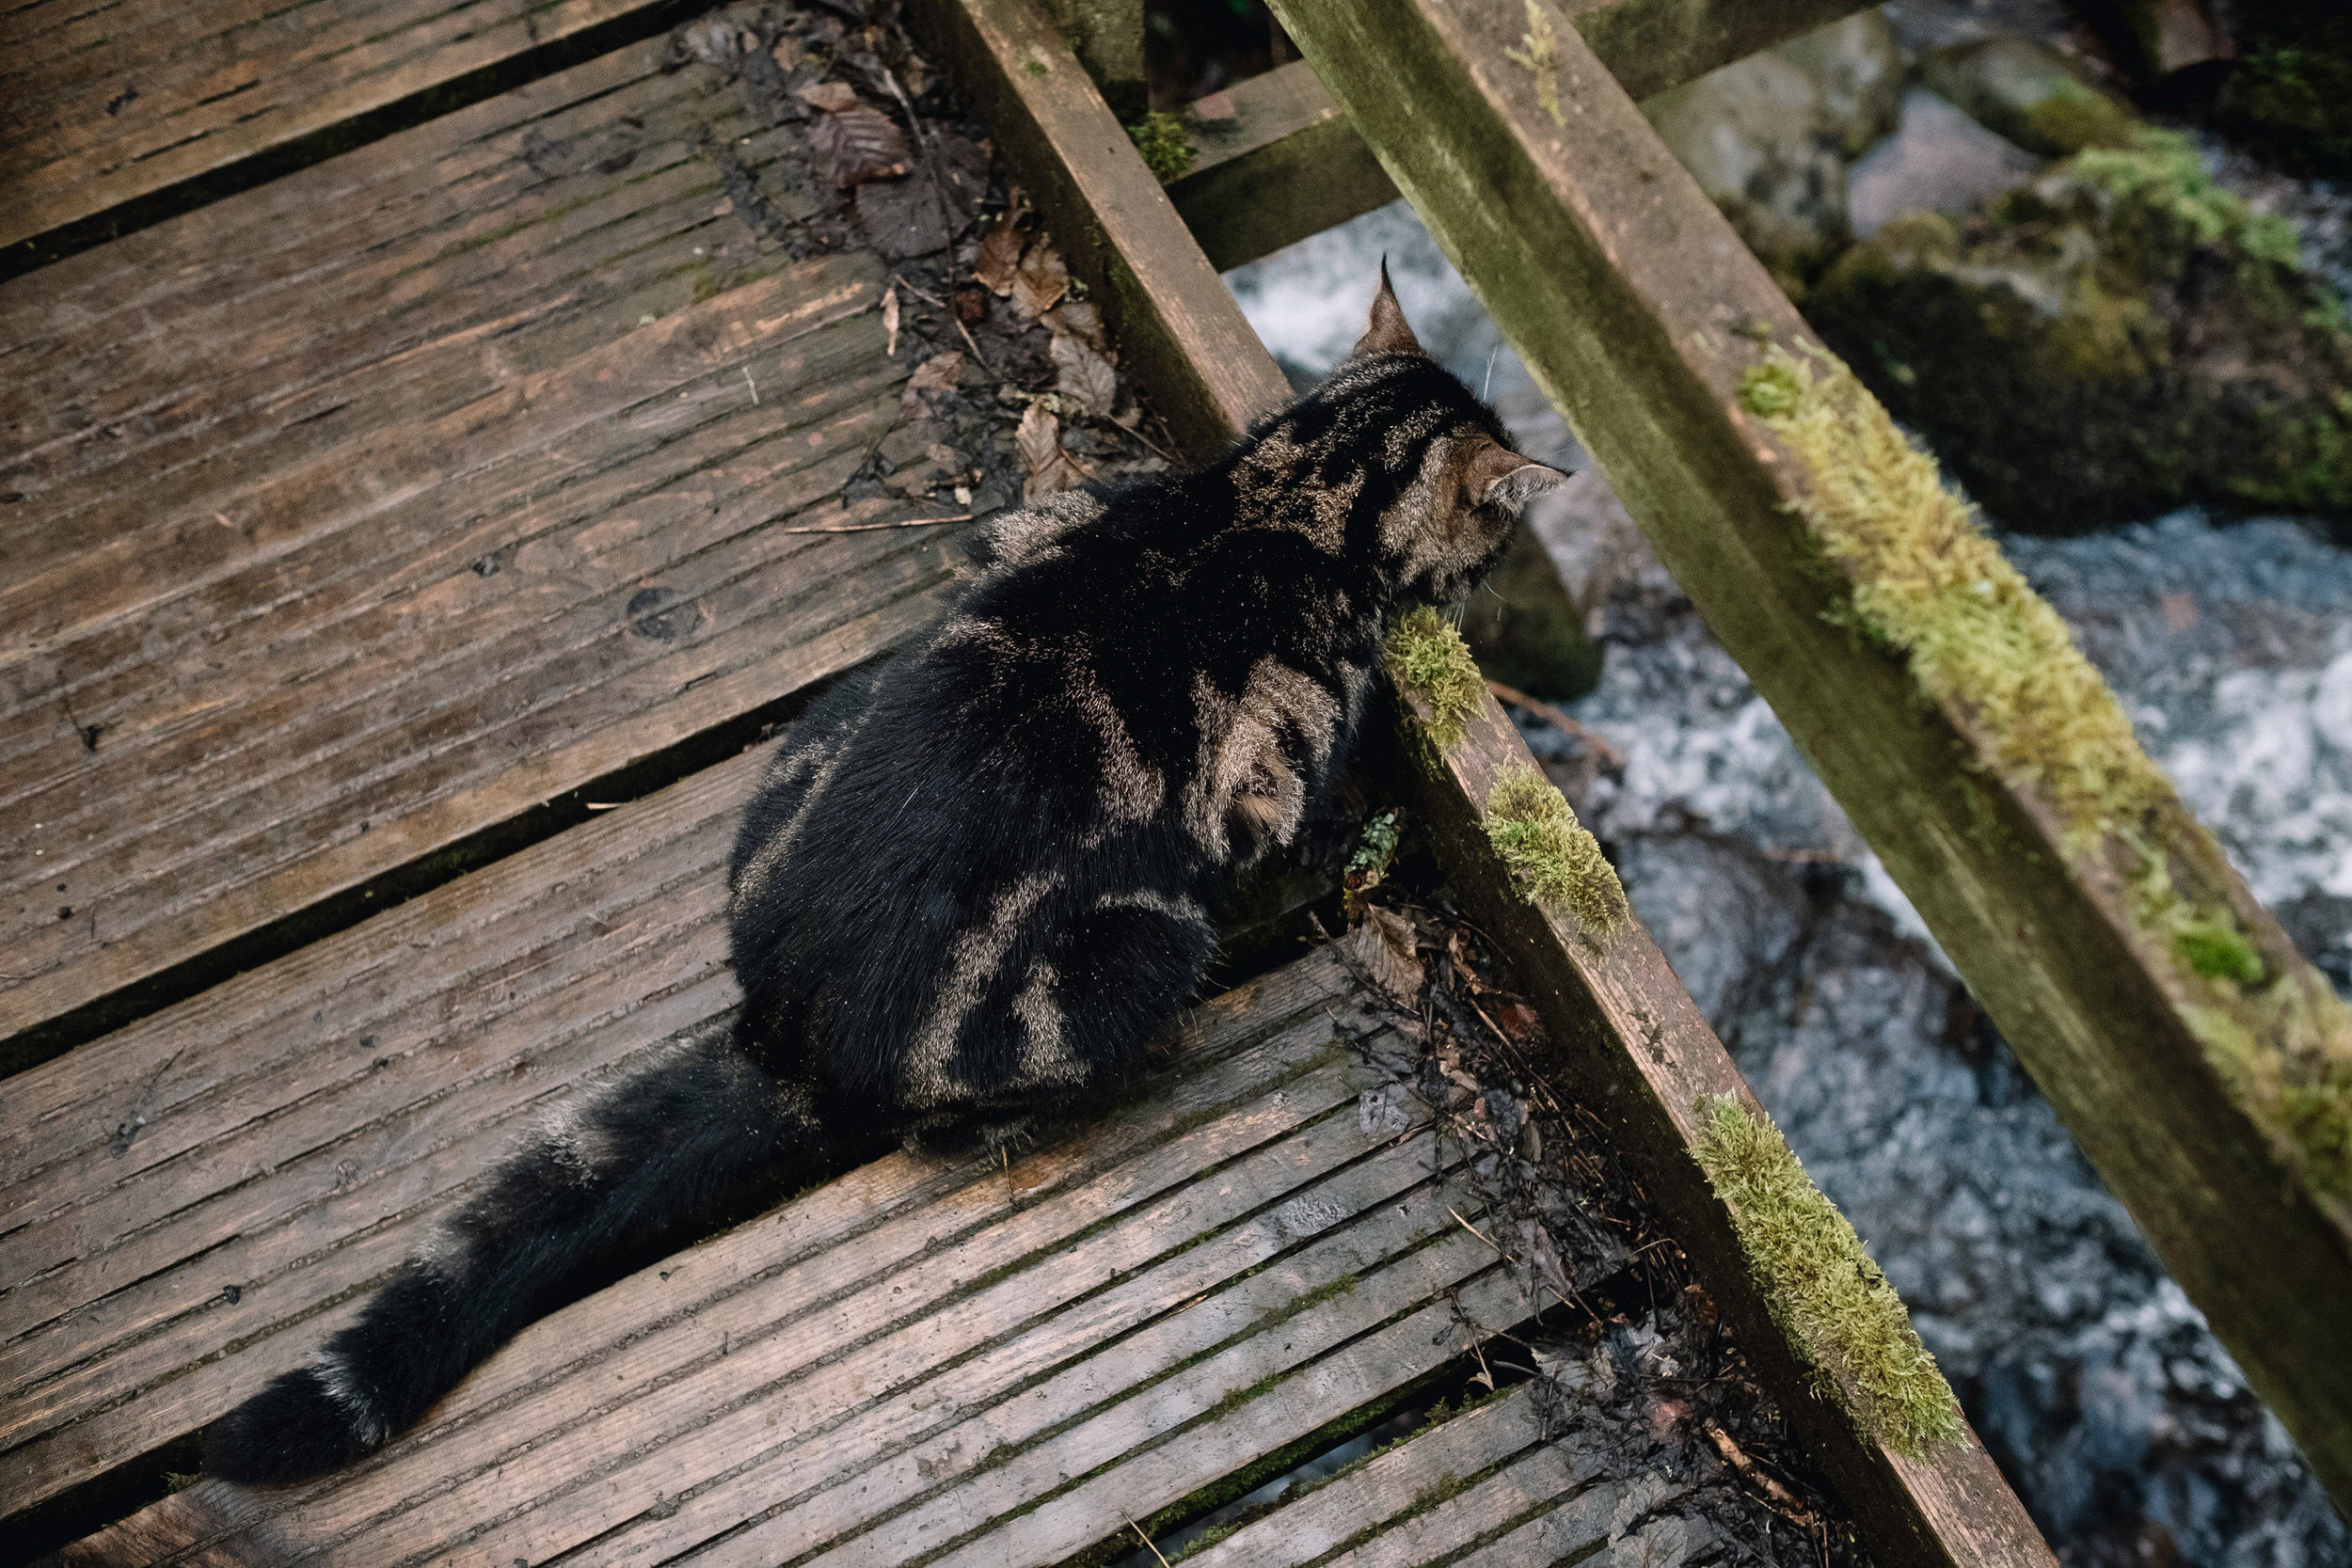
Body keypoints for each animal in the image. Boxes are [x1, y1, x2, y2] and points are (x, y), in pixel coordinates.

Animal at [202, 266, 1562, 1485]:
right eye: (1500, 525)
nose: (1506, 554)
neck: (1282, 498)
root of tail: (785, 1035)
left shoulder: (1043, 518)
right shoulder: (1266, 762)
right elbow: (1289, 811)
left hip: (818, 729)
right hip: (1137, 953)